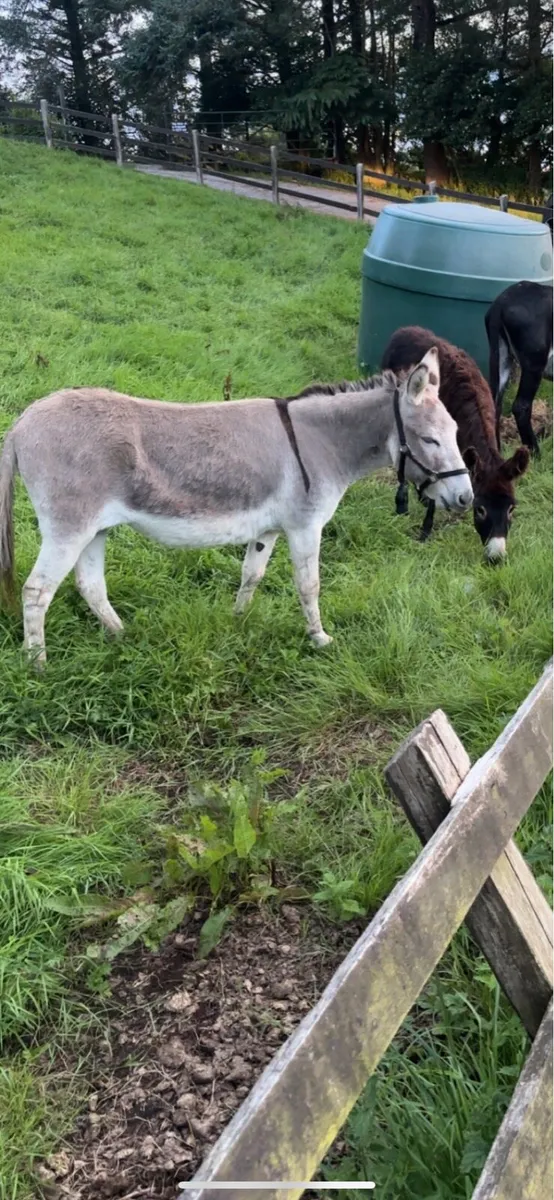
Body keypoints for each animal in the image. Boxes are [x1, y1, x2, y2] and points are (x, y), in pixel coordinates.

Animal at [0, 349, 472, 666]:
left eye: (455, 432)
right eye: (430, 440)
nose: (467, 500)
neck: (320, 443)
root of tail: (22, 421)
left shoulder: (268, 529)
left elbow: (252, 574)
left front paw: (238, 621)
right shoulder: (305, 526)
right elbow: (309, 585)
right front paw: (319, 639)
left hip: (95, 528)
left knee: (90, 584)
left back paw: (120, 635)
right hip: (69, 526)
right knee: (37, 591)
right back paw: (37, 664)